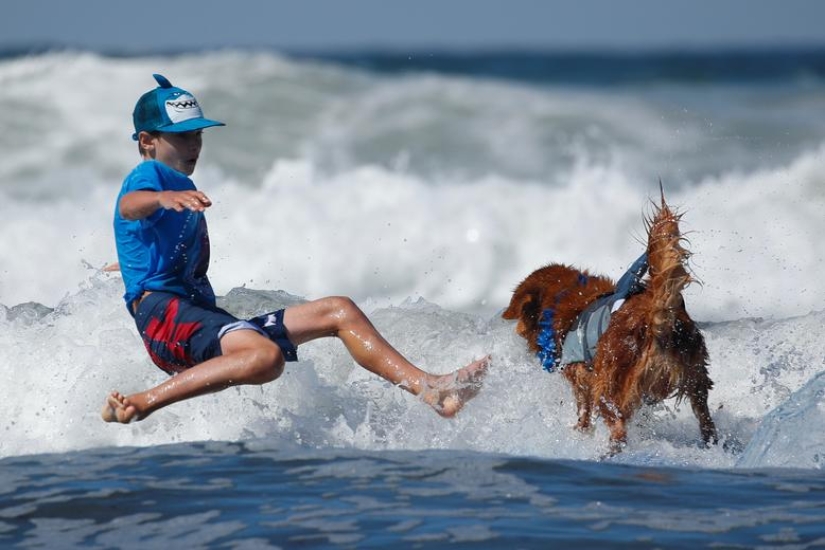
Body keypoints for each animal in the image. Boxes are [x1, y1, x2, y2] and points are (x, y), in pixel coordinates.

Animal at [498, 192, 716, 454]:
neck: (568, 300)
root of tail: (657, 320)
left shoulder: (582, 379)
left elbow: (583, 412)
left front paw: (580, 432)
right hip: (697, 379)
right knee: (707, 422)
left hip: (608, 387)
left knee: (618, 429)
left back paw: (609, 452)